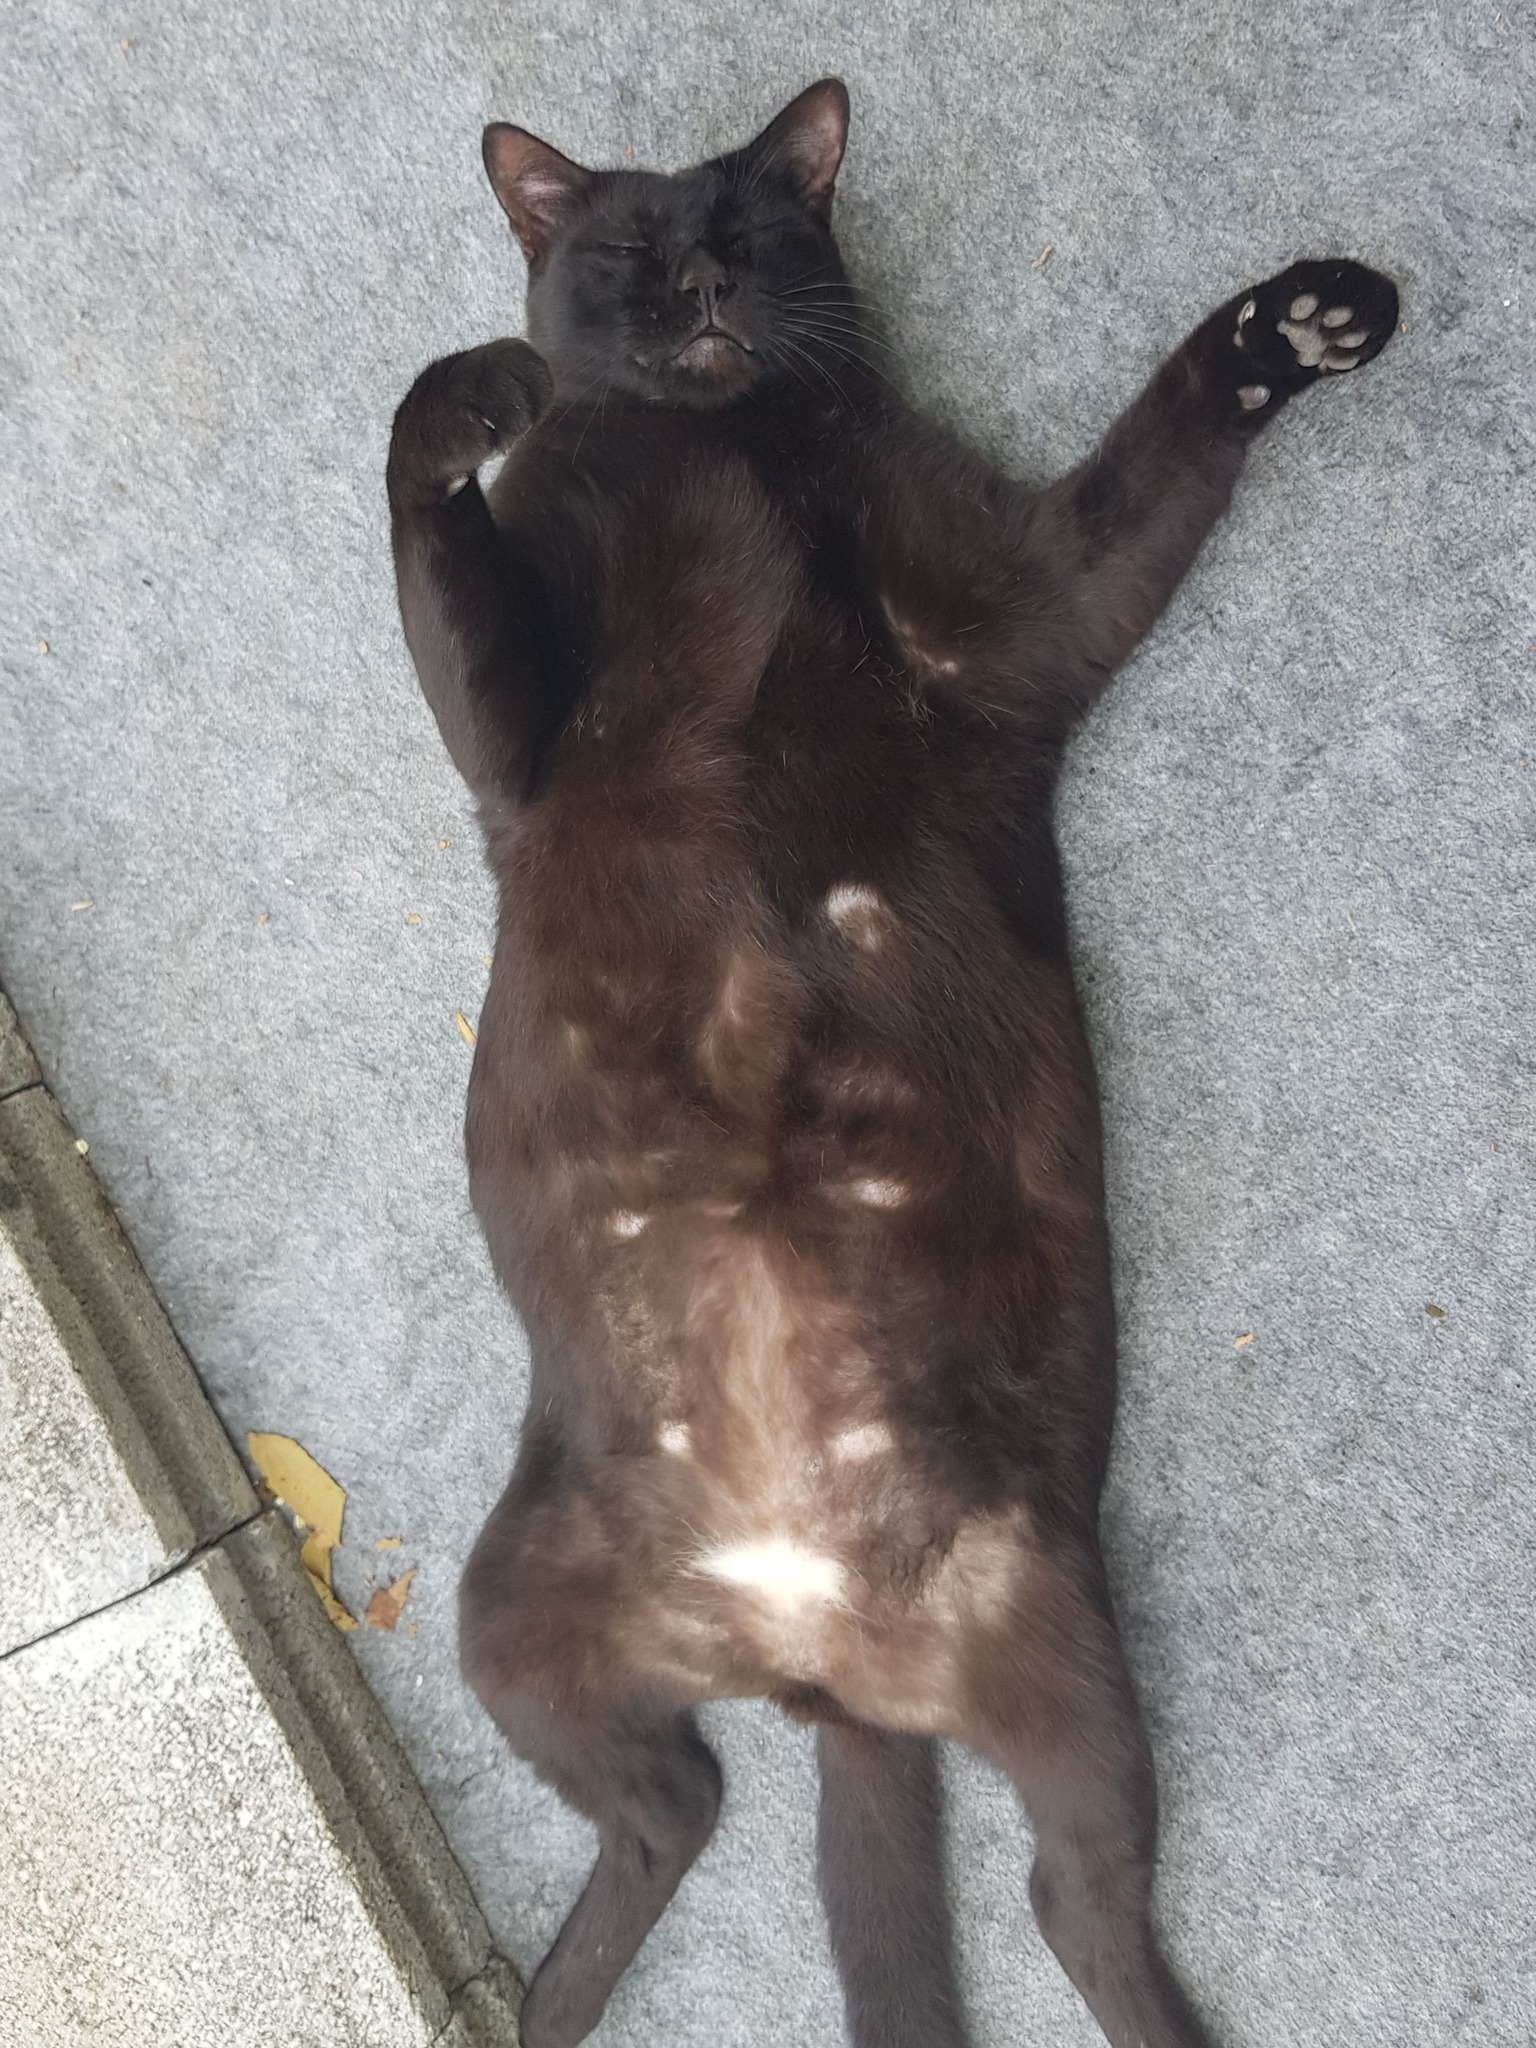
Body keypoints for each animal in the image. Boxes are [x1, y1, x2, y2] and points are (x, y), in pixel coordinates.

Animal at [386, 76, 1397, 2048]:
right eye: (622, 248)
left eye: (757, 228)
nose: (700, 279)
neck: (738, 453)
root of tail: (811, 1657)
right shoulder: (514, 736)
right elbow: (421, 496)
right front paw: (479, 393)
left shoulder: (1009, 611)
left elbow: (1160, 447)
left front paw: (1301, 323)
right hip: (511, 1617)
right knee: (677, 1811)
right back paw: (531, 2000)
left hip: (1049, 1646)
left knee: (1063, 1900)